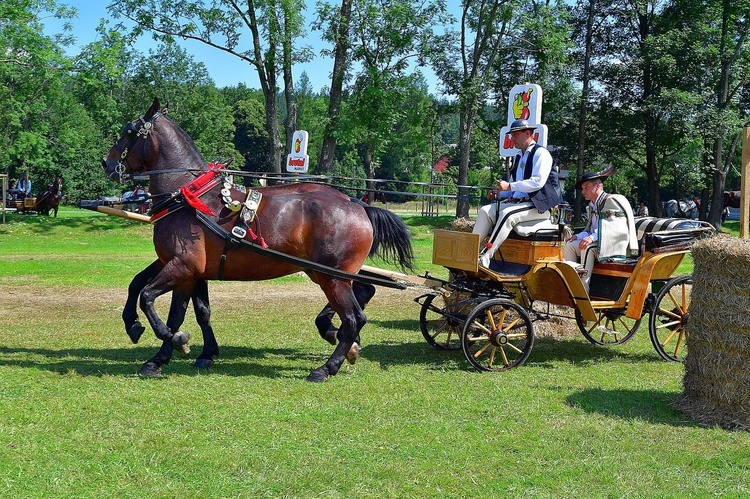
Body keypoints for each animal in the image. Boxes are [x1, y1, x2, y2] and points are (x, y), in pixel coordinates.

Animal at [103, 98, 414, 382]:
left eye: (129, 131)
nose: (106, 162)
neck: (190, 197)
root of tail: (357, 204)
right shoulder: (185, 268)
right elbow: (160, 297)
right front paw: (154, 343)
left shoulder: (183, 266)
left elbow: (152, 300)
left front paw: (174, 342)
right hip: (329, 274)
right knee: (361, 298)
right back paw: (340, 343)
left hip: (333, 277)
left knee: (353, 318)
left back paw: (326, 367)